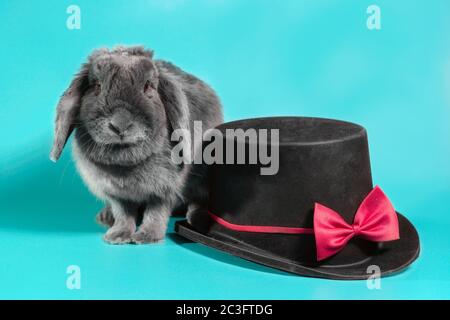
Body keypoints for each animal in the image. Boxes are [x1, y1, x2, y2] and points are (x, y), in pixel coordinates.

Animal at [50, 46, 222, 244]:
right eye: (97, 86)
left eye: (147, 86)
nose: (120, 125)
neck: (125, 163)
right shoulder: (116, 194)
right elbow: (123, 213)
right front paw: (118, 235)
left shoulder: (164, 190)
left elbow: (156, 212)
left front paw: (147, 236)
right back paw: (105, 217)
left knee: (199, 201)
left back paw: (197, 219)